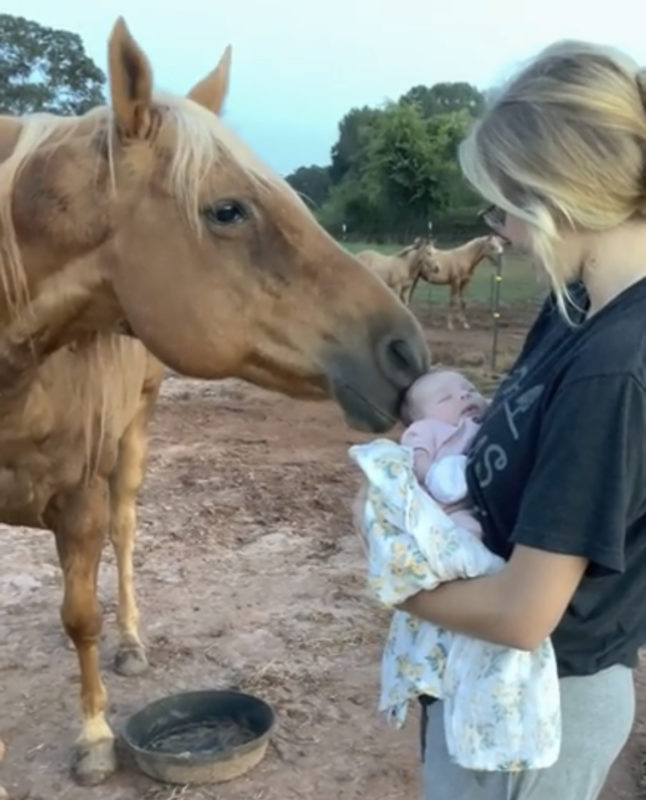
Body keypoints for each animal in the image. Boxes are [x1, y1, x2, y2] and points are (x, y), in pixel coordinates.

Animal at [0, 17, 429, 790]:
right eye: (227, 210)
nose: (405, 352)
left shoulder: (79, 501)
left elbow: (82, 617)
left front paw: (95, 737)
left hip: (134, 436)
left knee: (124, 537)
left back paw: (131, 641)